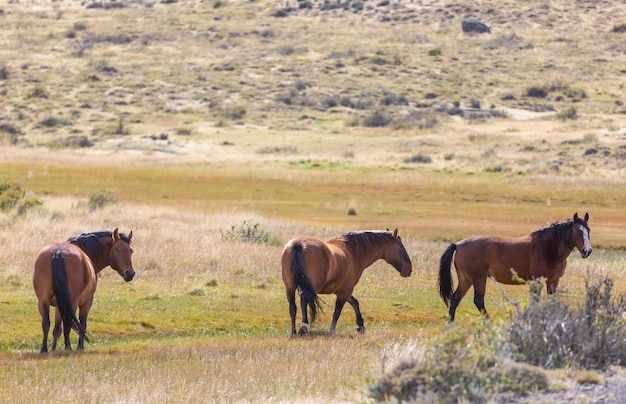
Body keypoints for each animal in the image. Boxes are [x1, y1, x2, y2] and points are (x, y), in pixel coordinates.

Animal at [282, 229, 410, 336]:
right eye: (401, 247)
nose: (409, 269)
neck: (353, 252)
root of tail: (298, 245)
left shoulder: (342, 290)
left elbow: (354, 302)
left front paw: (361, 326)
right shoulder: (345, 290)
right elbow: (337, 311)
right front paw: (332, 331)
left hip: (290, 287)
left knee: (292, 307)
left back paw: (294, 332)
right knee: (304, 301)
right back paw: (304, 327)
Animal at [434, 211, 588, 322]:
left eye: (588, 231)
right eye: (578, 232)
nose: (587, 251)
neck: (548, 248)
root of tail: (458, 245)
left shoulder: (553, 280)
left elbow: (552, 301)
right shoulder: (536, 281)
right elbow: (534, 302)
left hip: (466, 279)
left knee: (455, 299)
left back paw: (450, 324)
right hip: (478, 279)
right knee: (478, 301)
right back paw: (489, 322)